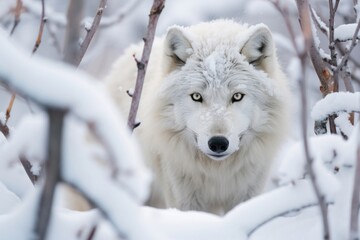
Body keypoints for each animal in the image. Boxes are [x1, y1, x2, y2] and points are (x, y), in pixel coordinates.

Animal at [105, 19, 292, 215]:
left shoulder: (249, 191)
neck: (218, 173)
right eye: (196, 96)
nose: (218, 143)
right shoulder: (185, 199)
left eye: (237, 96)